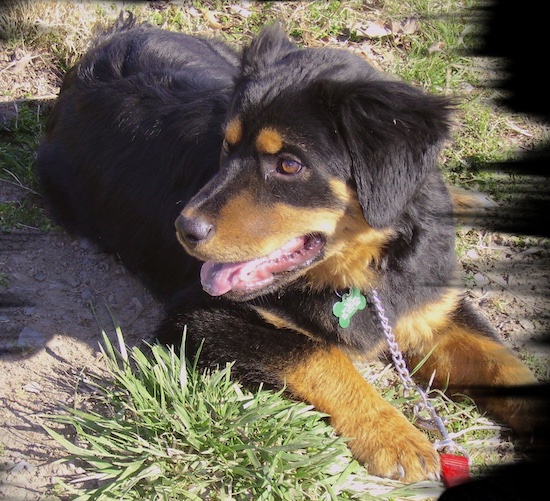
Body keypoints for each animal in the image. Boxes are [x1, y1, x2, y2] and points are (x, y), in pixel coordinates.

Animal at [36, 16, 540, 480]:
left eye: (289, 165)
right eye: (225, 146)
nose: (184, 230)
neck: (365, 269)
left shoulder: (435, 307)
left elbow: (505, 365)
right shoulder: (199, 316)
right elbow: (321, 355)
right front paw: (395, 435)